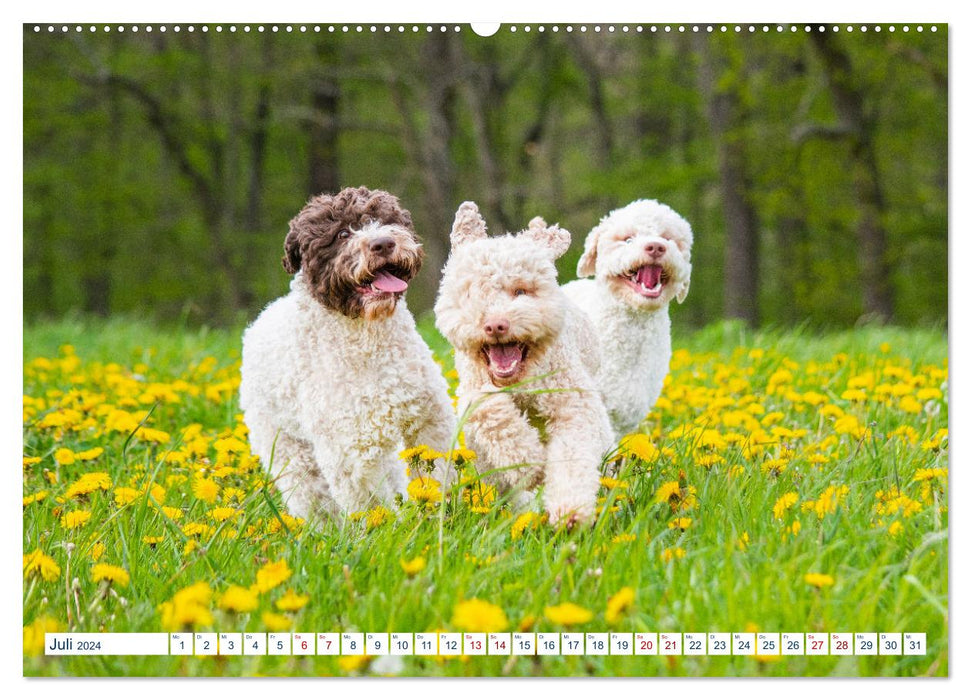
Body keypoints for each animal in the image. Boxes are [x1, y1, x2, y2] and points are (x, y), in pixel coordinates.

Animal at [241, 186, 458, 520]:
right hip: (287, 448)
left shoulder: (429, 418)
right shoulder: (349, 448)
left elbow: (436, 470)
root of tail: (259, 320)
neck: (369, 340)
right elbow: (370, 503)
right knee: (311, 495)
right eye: (343, 233)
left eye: (384, 220)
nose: (383, 243)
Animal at [434, 201, 612, 524]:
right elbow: (494, 415)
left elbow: (573, 453)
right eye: (470, 293)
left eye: (520, 291)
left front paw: (570, 510)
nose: (495, 325)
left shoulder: (574, 403)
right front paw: (531, 466)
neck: (521, 380)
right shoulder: (473, 391)